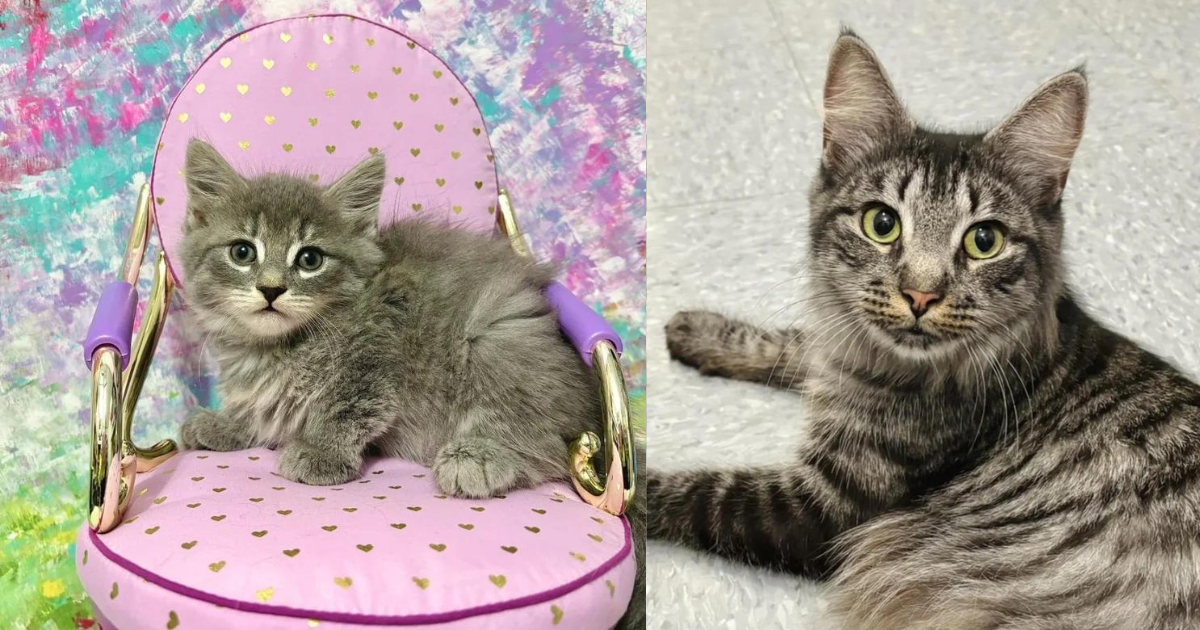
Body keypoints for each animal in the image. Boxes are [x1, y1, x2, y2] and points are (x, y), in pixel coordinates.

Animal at [176, 138, 643, 628]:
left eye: (310, 259)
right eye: (242, 252)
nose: (271, 289)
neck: (277, 345)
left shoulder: (375, 355)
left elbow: (348, 408)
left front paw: (322, 453)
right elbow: (262, 408)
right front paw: (225, 424)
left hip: (496, 336)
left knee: (545, 442)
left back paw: (478, 458)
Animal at [652, 31, 1200, 628]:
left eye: (984, 241)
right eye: (881, 223)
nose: (921, 294)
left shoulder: (821, 507)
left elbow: (685, 492)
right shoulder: (838, 345)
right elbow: (789, 342)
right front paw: (697, 330)